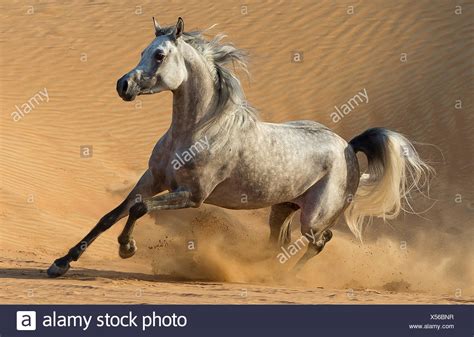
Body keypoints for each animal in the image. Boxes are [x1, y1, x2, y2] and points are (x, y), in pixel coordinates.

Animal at [47, 17, 434, 276]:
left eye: (159, 55)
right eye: (142, 51)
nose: (123, 85)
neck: (197, 131)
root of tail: (348, 148)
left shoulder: (192, 195)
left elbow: (140, 209)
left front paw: (127, 248)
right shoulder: (152, 179)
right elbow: (113, 214)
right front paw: (62, 262)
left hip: (313, 216)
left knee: (318, 241)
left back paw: (285, 278)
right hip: (282, 208)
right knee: (278, 243)